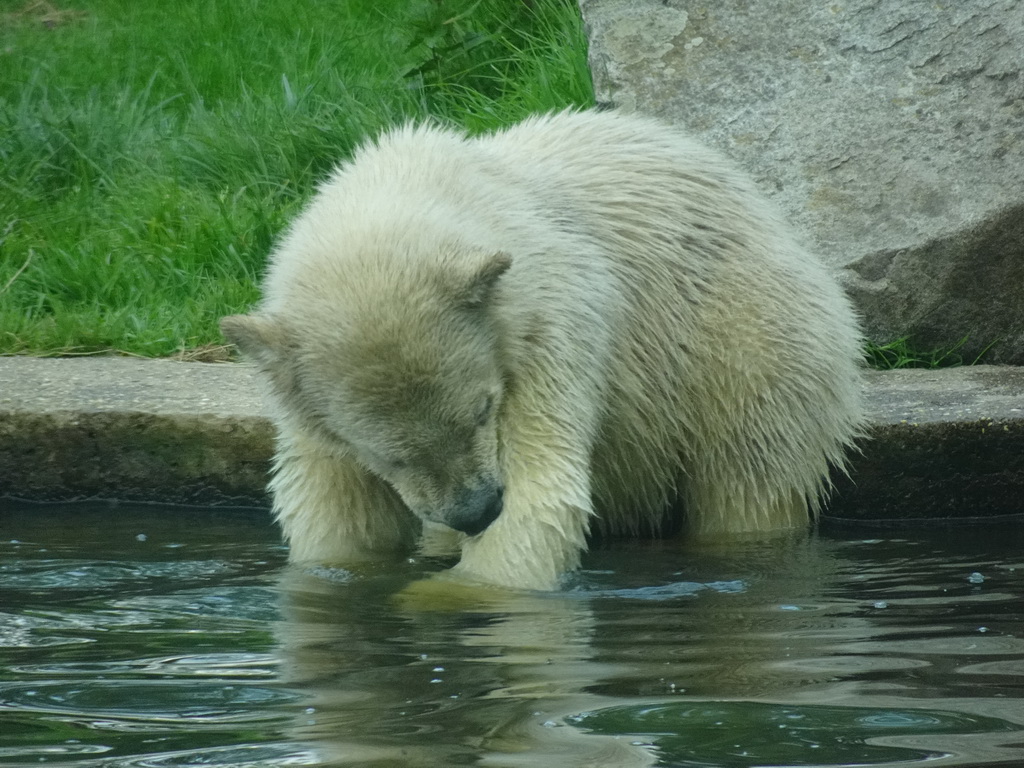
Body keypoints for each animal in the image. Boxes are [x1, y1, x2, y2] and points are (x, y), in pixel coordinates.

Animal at [222, 108, 864, 593]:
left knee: (750, 472)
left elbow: (542, 486)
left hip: (744, 335)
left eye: (483, 410)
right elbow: (333, 510)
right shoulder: (296, 388)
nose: (476, 511)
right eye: (388, 454)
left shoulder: (548, 322)